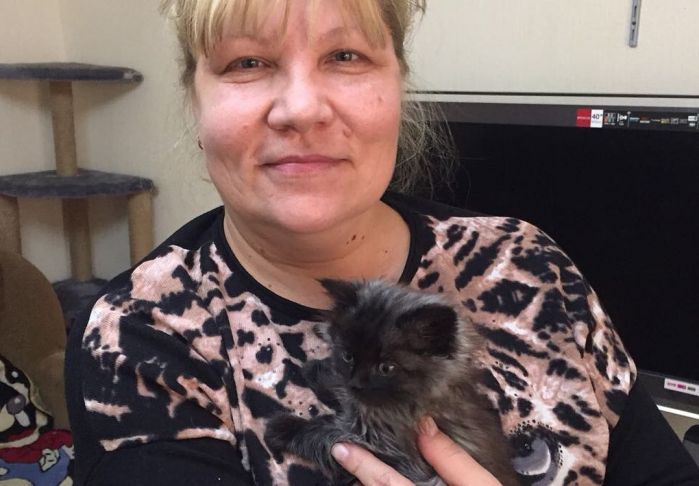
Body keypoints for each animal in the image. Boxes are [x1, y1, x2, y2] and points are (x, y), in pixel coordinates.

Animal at [265, 279, 519, 486]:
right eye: (348, 356)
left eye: (386, 368)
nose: (356, 383)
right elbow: (343, 391)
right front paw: (319, 373)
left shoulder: (388, 450)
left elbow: (324, 432)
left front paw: (283, 428)